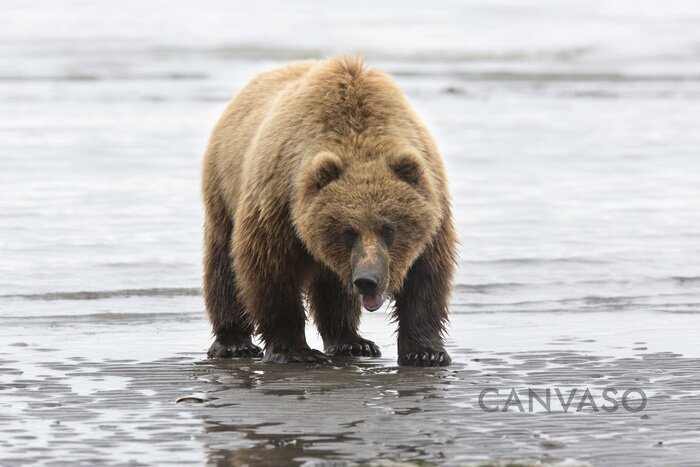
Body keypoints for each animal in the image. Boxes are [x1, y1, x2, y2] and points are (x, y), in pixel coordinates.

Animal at [200, 56, 456, 368]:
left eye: (389, 229)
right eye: (348, 231)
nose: (367, 280)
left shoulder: (433, 205)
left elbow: (426, 277)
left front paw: (426, 352)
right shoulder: (279, 204)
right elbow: (270, 271)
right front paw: (294, 350)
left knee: (333, 285)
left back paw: (352, 341)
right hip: (223, 190)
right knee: (223, 265)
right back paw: (234, 344)